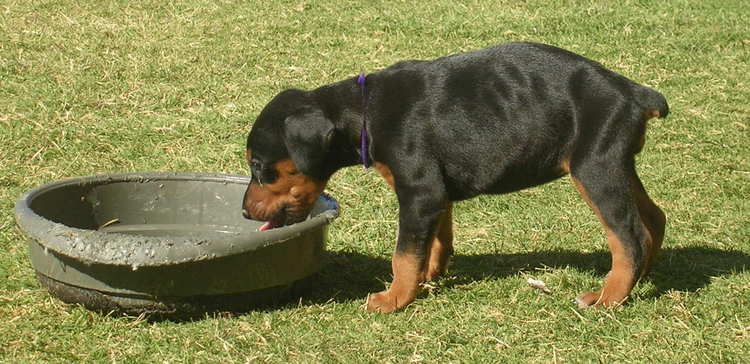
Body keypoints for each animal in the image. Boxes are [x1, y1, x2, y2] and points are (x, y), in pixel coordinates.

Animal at [244, 41, 672, 312]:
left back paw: (609, 297)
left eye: (259, 166)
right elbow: (435, 240)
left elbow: (403, 254)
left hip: (595, 168)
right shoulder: (435, 192)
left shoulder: (419, 192)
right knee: (654, 218)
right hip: (618, 165)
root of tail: (634, 93)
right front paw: (428, 277)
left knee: (629, 237)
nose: (246, 213)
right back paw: (641, 280)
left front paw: (394, 298)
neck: (364, 112)